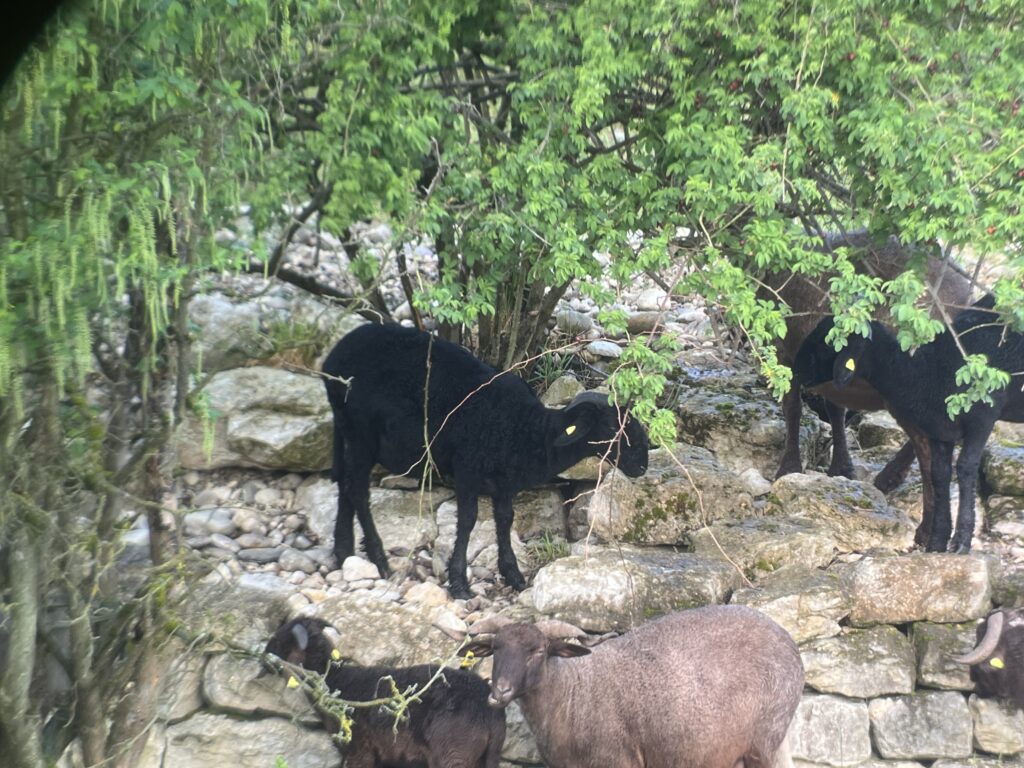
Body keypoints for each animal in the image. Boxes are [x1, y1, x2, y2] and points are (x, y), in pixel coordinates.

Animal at [262, 618, 505, 768]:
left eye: (279, 640)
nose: (263, 657)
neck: (334, 681)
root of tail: (488, 708)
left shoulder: (359, 752)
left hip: (453, 755)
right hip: (489, 755)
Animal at [323, 321, 651, 598]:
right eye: (612, 427)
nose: (642, 464)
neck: (529, 431)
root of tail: (332, 358)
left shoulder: (504, 482)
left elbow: (505, 520)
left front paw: (513, 575)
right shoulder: (467, 469)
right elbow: (467, 520)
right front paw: (458, 583)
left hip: (348, 430)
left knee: (344, 484)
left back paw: (343, 551)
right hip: (361, 432)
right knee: (357, 490)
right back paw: (379, 560)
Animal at [460, 606, 802, 768]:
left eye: (539, 651)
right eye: (495, 648)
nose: (500, 692)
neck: (571, 694)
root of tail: (788, 640)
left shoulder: (619, 760)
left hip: (763, 741)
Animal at [770, 230, 966, 548]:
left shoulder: (784, 348)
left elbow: (792, 407)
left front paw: (789, 468)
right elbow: (835, 409)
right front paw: (841, 468)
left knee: (928, 446)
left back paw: (925, 529)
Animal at [790, 301, 1024, 552]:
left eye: (827, 344)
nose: (795, 371)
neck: (922, 372)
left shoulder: (982, 419)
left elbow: (965, 467)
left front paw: (961, 542)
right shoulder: (940, 428)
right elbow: (939, 474)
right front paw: (937, 542)